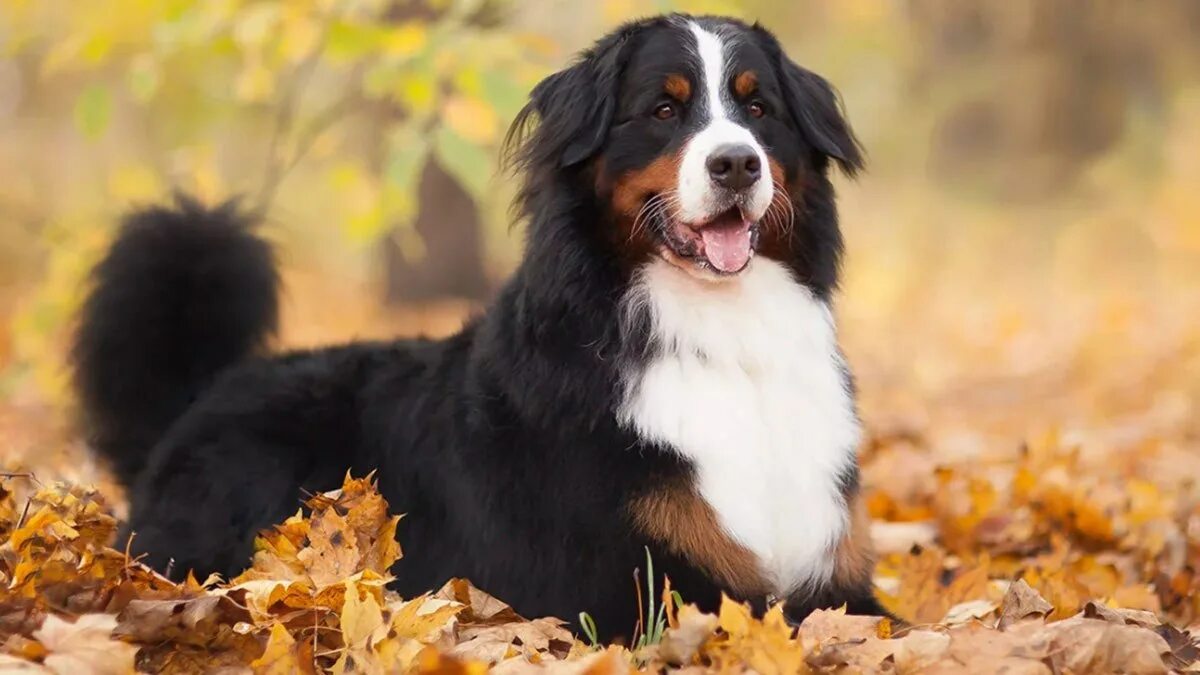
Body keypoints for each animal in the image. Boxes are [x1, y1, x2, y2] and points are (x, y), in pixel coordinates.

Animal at [72, 15, 883, 634]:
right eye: (663, 109)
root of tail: (201, 397)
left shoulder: (833, 580)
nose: (737, 164)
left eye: (759, 109)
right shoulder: (627, 589)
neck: (723, 336)